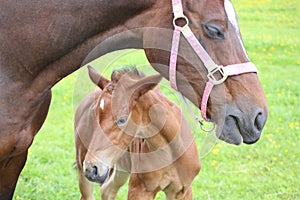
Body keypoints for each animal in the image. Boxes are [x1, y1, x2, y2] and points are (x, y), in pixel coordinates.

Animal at [74, 66, 200, 199]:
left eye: (122, 120)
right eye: (94, 114)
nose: (91, 168)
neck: (171, 151)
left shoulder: (182, 191)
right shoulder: (139, 189)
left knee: (107, 190)